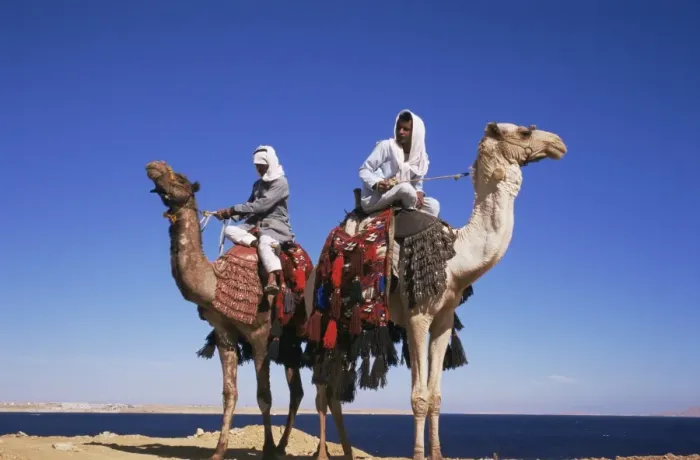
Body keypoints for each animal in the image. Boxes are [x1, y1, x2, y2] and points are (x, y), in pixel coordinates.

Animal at [145, 161, 313, 460]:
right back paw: (283, 446)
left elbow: (264, 396)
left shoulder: (260, 333)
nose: (154, 165)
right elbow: (229, 393)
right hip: (289, 343)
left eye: (181, 178)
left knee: (297, 391)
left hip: (292, 334)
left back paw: (280, 447)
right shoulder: (224, 332)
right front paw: (219, 451)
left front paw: (267, 448)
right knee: (297, 391)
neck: (216, 281)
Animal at [303, 122, 567, 460]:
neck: (455, 256)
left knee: (335, 390)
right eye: (524, 132)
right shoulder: (418, 316)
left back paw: (348, 452)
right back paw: (323, 453)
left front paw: (437, 453)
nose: (558, 143)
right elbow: (419, 395)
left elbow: (436, 395)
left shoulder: (443, 319)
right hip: (323, 318)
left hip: (349, 328)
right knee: (322, 389)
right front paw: (418, 453)